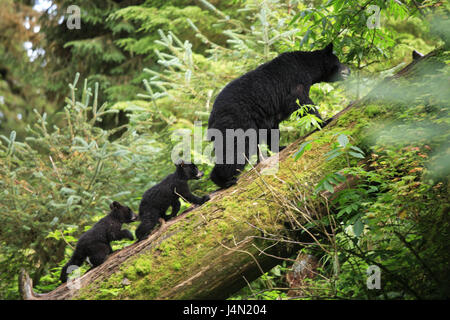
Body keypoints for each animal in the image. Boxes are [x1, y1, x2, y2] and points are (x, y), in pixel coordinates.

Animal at [206, 42, 350, 188]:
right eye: (338, 61)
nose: (348, 70)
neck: (307, 67)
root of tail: (212, 116)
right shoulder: (295, 83)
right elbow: (303, 104)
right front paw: (323, 121)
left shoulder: (268, 116)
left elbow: (272, 130)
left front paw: (279, 147)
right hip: (237, 122)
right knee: (237, 148)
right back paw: (224, 180)